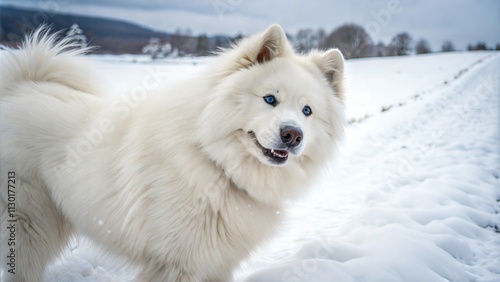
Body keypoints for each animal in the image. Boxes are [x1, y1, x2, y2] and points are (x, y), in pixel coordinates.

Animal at [0, 24, 346, 282]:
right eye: (270, 99)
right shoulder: (177, 263)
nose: (293, 134)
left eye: (307, 111)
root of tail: (18, 89)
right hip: (30, 228)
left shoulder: (217, 263)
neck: (217, 166)